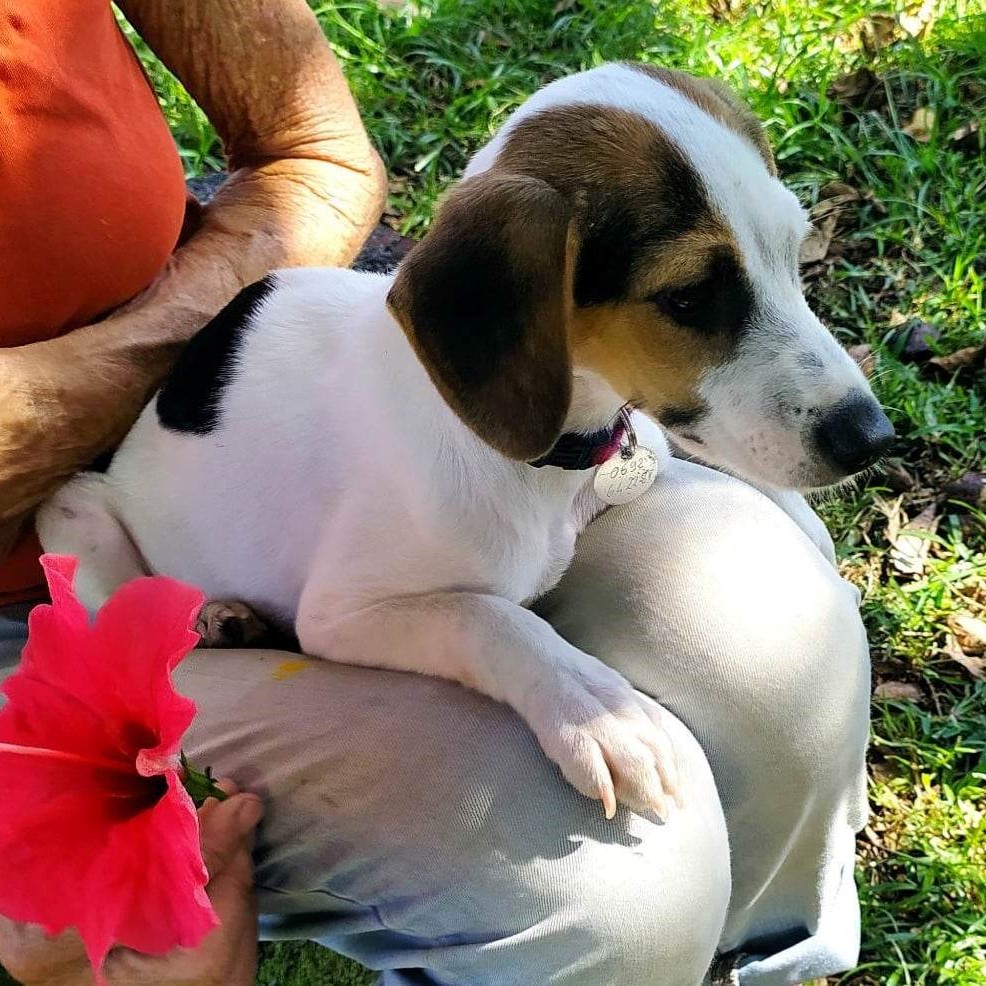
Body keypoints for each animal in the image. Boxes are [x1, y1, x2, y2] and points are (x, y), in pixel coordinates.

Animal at [36, 59, 892, 816]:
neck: (546, 462)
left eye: (794, 253)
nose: (871, 439)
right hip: (75, 514)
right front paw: (599, 712)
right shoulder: (345, 613)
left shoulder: (643, 434)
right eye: (687, 297)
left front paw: (811, 532)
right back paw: (218, 621)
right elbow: (491, 618)